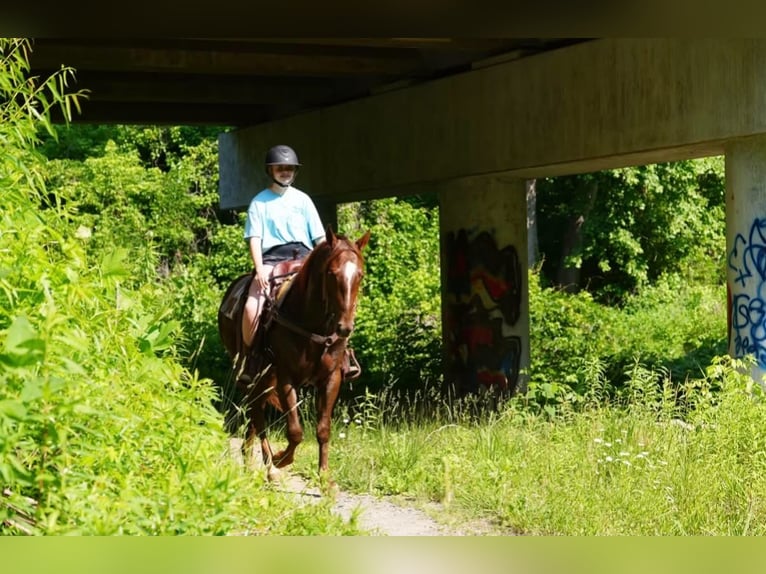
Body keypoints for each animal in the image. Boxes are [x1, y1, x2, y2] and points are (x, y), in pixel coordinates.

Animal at [217, 226, 370, 481]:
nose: (344, 327)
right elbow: (296, 431)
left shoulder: (331, 378)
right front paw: (281, 459)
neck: (312, 324)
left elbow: (323, 429)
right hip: (254, 375)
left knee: (255, 415)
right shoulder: (286, 377)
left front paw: (324, 477)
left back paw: (253, 462)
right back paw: (269, 467)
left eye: (359, 274)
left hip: (265, 380)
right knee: (257, 415)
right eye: (332, 273)